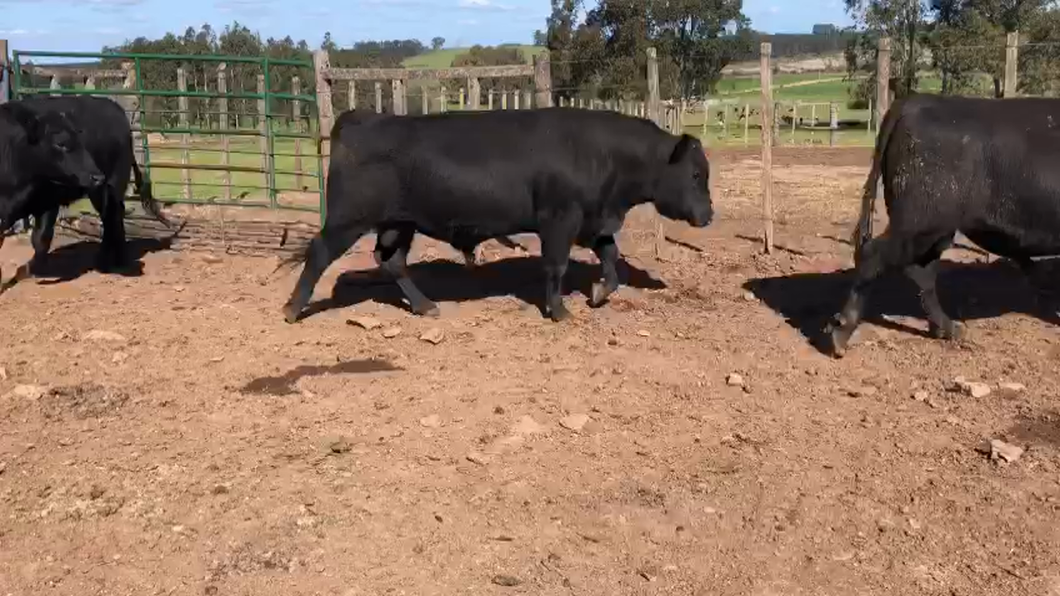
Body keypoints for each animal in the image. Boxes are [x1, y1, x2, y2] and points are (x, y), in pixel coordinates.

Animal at [16, 95, 171, 273]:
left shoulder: (50, 196)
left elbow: (41, 235)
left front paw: (33, 267)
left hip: (109, 184)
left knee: (112, 215)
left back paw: (106, 260)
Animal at [281, 106, 716, 320]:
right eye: (695, 174)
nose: (710, 215)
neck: (603, 154)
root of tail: (362, 118)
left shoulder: (593, 221)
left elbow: (612, 258)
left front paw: (598, 294)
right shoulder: (559, 220)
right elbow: (556, 266)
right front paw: (559, 311)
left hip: (399, 224)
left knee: (392, 262)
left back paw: (425, 306)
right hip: (347, 220)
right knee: (319, 253)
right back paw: (292, 309)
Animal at [826, 92, 1060, 352]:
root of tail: (915, 100)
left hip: (934, 232)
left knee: (923, 274)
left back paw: (947, 330)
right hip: (920, 224)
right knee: (874, 255)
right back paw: (841, 333)